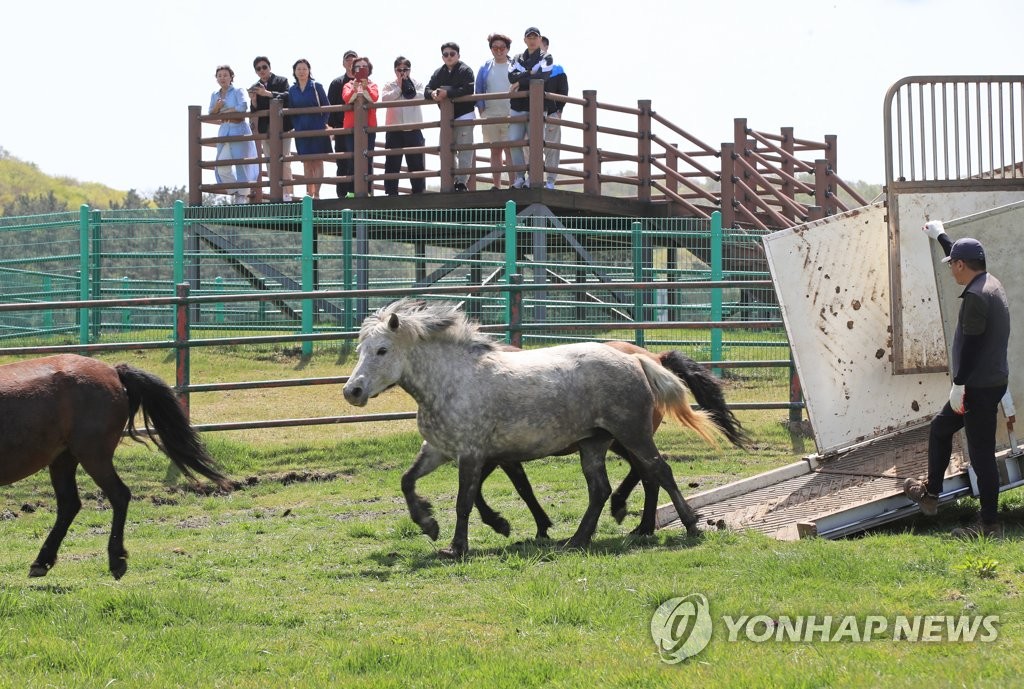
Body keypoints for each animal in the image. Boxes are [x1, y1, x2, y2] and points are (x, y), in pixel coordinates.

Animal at [0, 354, 228, 573]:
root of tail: (113, 371)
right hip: (64, 459)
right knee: (69, 504)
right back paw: (43, 561)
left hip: (93, 456)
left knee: (118, 495)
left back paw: (116, 559)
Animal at [339, 298, 716, 556]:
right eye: (361, 349)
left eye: (382, 350)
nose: (352, 391)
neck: (453, 381)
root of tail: (637, 359)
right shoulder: (439, 450)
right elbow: (407, 481)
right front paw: (429, 524)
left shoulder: (471, 454)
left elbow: (465, 501)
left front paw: (457, 546)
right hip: (594, 443)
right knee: (601, 489)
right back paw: (578, 539)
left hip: (631, 434)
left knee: (658, 471)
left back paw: (690, 525)